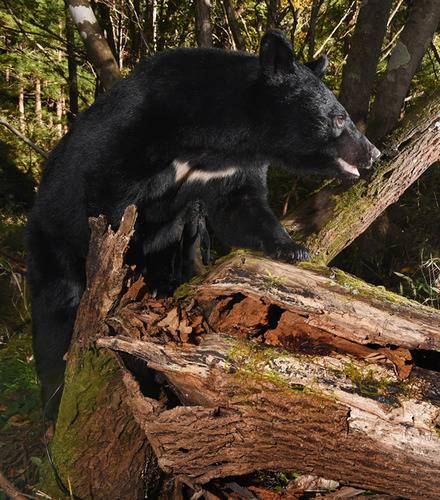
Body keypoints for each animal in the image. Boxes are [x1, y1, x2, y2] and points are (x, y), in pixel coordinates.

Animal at [26, 29, 378, 416]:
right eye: (339, 118)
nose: (374, 153)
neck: (216, 139)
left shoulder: (231, 169)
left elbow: (241, 207)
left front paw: (292, 247)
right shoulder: (130, 134)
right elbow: (110, 200)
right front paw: (132, 273)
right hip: (51, 244)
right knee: (56, 316)